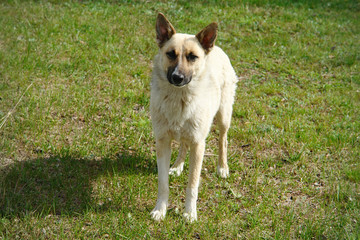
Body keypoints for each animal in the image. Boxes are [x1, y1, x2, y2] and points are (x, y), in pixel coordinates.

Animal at [148, 13, 236, 222]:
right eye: (171, 54)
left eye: (192, 57)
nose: (177, 77)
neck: (179, 98)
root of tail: (215, 48)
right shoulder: (162, 141)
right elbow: (163, 183)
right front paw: (160, 210)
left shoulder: (198, 145)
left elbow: (192, 185)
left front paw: (189, 213)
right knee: (183, 145)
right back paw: (178, 166)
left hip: (223, 116)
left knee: (223, 140)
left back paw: (222, 167)